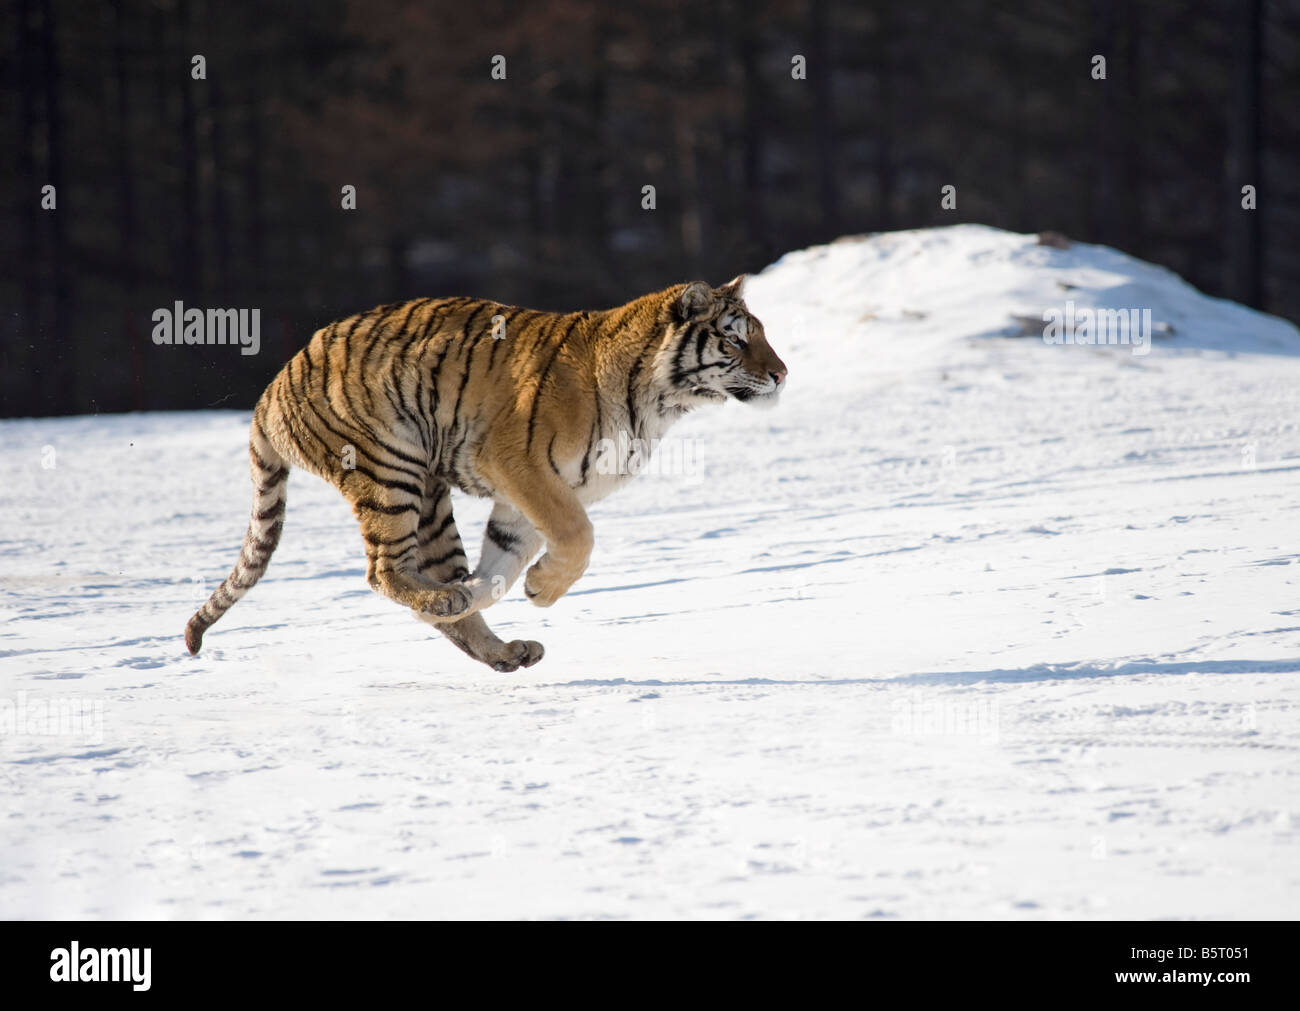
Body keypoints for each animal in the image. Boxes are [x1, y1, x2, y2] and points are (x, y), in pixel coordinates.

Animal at [184, 275, 785, 670]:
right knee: (382, 570)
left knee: (429, 580)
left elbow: (501, 567)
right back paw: (447, 603)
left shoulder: (524, 498)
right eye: (735, 338)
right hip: (390, 470)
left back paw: (498, 645)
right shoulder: (520, 465)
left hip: (428, 497)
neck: (661, 401)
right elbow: (577, 536)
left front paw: (503, 587)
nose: (782, 373)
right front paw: (542, 588)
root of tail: (274, 385)